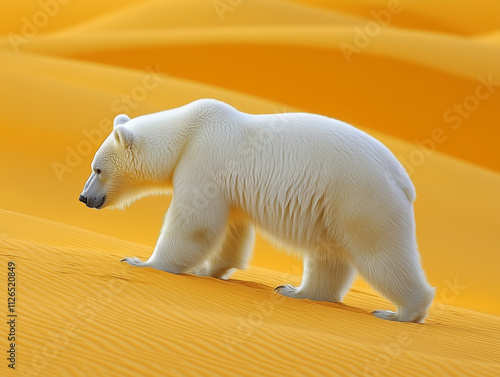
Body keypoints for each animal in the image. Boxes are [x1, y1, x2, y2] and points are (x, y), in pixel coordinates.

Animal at [79, 98, 434, 322]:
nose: (83, 198)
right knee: (328, 254)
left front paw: (142, 261)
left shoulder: (204, 160)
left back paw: (401, 312)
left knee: (381, 253)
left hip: (360, 198)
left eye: (97, 169)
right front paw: (208, 270)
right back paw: (297, 291)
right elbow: (231, 232)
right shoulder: (229, 187)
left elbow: (195, 223)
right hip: (332, 207)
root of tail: (402, 180)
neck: (188, 133)